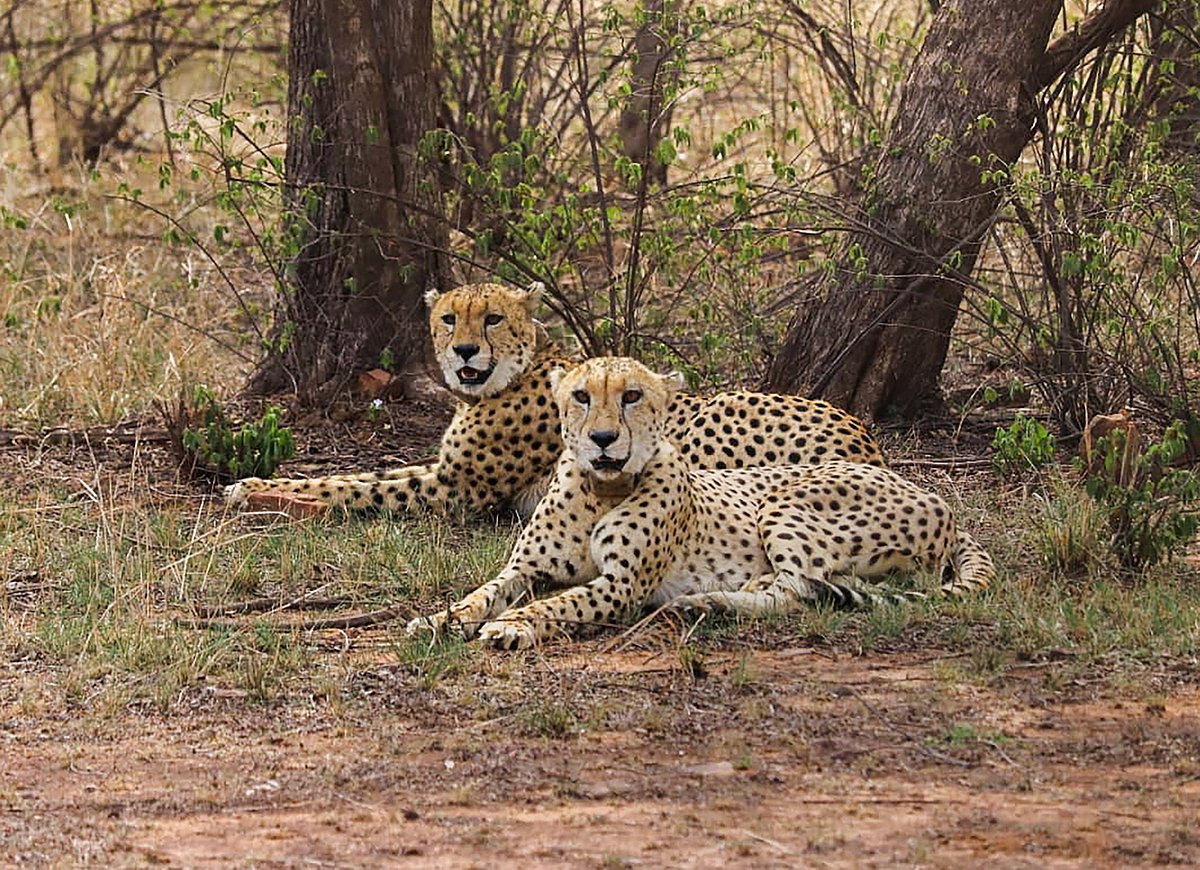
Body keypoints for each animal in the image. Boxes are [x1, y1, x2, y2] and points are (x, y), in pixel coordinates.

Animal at [225, 281, 884, 518]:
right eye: (448, 318)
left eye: (491, 318)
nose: (463, 352)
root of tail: (866, 438)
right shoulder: (444, 469)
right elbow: (362, 473)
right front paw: (255, 484)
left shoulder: (459, 489)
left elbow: (356, 488)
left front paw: (262, 494)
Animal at [407, 356, 996, 650]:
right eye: (580, 396)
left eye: (632, 396)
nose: (602, 439)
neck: (602, 489)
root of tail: (935, 497)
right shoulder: (526, 568)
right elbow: (483, 593)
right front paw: (440, 619)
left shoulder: (621, 585)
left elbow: (559, 603)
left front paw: (513, 626)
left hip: (783, 502)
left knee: (797, 590)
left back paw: (710, 601)